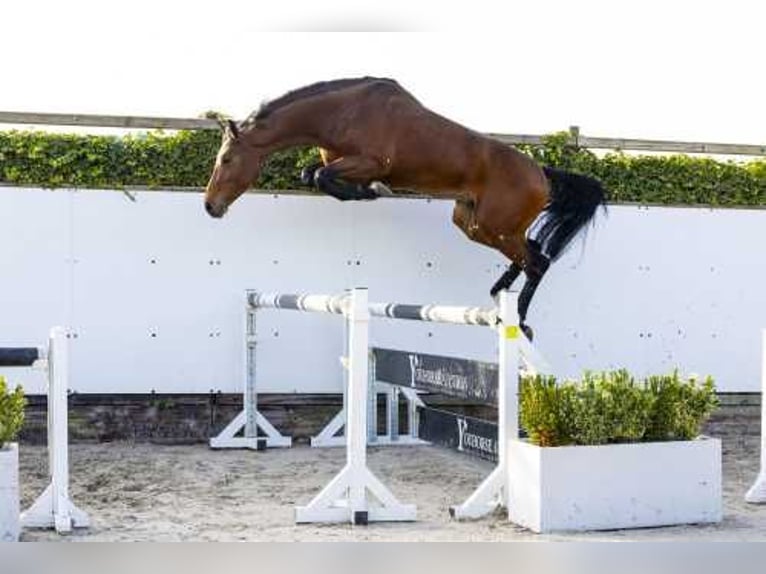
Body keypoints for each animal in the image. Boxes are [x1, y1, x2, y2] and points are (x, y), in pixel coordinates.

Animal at [204, 75, 608, 338]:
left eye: (226, 160)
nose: (210, 206)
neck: (341, 113)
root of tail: (541, 172)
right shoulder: (342, 163)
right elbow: (314, 175)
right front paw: (364, 192)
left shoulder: (371, 161)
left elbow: (323, 177)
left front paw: (372, 191)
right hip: (475, 224)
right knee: (531, 252)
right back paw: (498, 294)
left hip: (495, 225)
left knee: (538, 262)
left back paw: (519, 320)